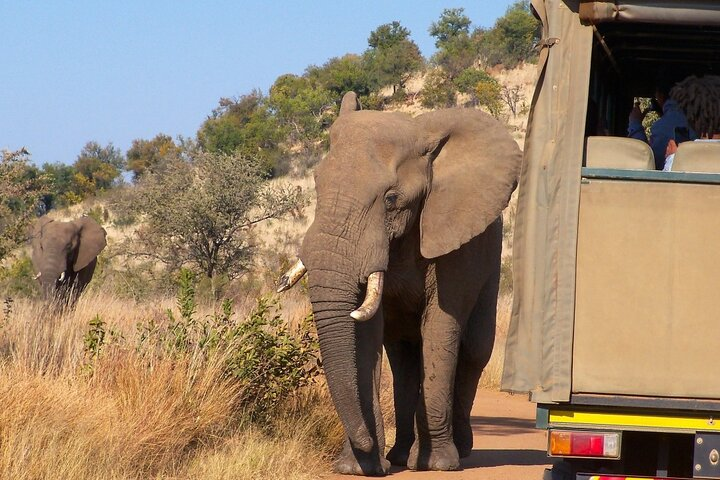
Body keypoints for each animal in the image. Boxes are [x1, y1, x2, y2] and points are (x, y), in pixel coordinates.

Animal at [278, 92, 521, 475]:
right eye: (317, 185)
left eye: (391, 199)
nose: (363, 443)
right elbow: (365, 334)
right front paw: (358, 467)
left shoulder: (452, 239)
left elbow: (441, 326)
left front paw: (438, 464)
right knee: (403, 357)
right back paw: (400, 455)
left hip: (490, 257)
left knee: (474, 347)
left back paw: (460, 449)